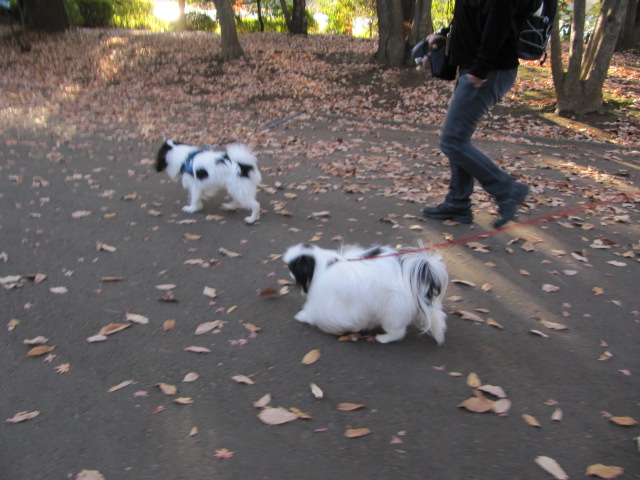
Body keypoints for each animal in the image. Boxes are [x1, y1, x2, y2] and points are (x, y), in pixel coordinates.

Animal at [282, 246, 448, 344]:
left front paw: (302, 316)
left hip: (392, 312)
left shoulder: (326, 302)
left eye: (293, 267)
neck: (322, 265)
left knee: (397, 332)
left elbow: (313, 312)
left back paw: (383, 338)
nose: (288, 273)